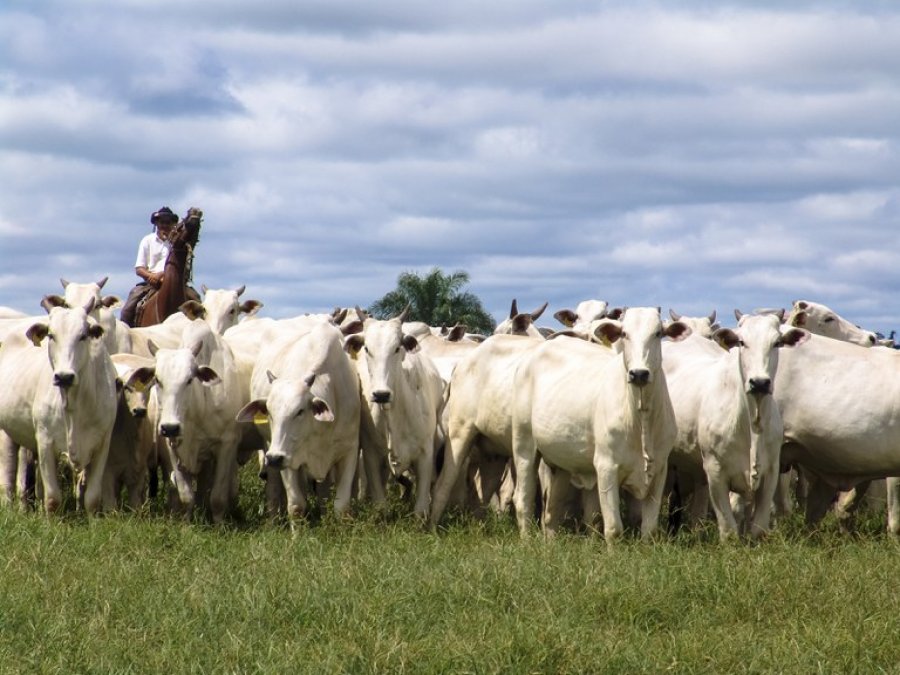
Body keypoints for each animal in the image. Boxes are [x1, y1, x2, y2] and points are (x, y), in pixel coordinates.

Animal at [0, 298, 117, 516]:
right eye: (51, 335)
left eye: (83, 335)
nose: (64, 376)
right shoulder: (45, 441)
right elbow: (53, 498)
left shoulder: (103, 444)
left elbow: (92, 498)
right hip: (6, 433)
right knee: (8, 478)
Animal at [237, 320, 360, 516]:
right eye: (269, 412)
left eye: (300, 411)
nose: (274, 458)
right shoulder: (287, 457)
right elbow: (296, 505)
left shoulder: (349, 450)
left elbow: (341, 506)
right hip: (270, 447)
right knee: (273, 487)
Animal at [344, 310, 442, 516]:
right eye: (367, 349)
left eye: (397, 348)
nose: (381, 394)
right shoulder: (371, 453)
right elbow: (381, 503)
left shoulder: (425, 453)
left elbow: (421, 507)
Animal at [512, 308, 688, 540]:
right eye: (624, 333)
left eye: (658, 333)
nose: (639, 373)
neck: (641, 417)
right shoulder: (606, 467)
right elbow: (613, 528)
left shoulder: (659, 469)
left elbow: (648, 529)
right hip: (524, 446)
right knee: (523, 500)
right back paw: (526, 540)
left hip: (560, 463)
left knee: (551, 513)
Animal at [660, 314, 808, 540]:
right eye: (742, 342)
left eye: (777, 343)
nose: (759, 382)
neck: (752, 423)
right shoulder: (715, 472)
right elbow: (728, 529)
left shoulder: (771, 472)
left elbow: (758, 527)